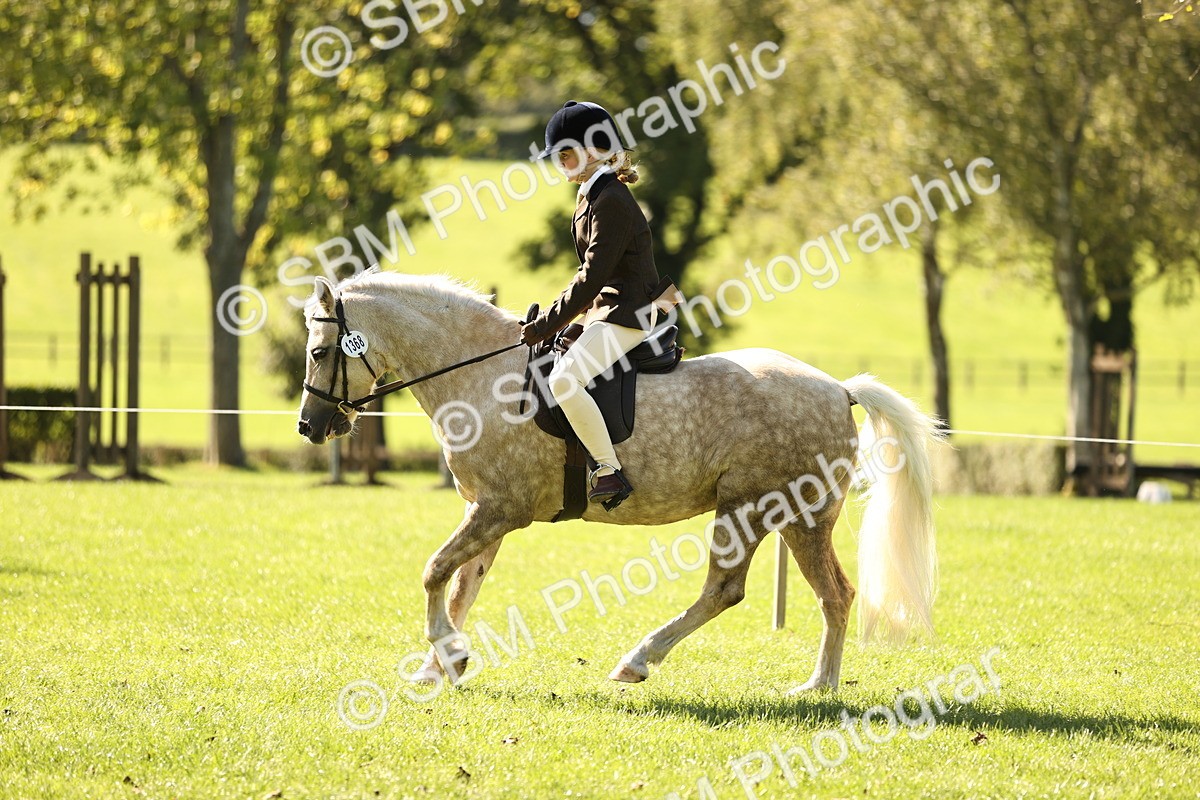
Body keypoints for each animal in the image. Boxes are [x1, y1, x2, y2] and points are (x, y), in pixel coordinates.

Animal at [296, 269, 941, 692]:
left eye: (321, 351)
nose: (310, 426)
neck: (480, 375)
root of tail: (838, 389)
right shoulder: (488, 512)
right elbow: (461, 586)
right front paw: (443, 665)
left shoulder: (500, 510)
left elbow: (433, 571)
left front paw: (446, 654)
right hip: (790, 516)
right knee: (830, 594)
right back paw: (818, 683)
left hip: (759, 510)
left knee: (740, 590)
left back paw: (655, 664)